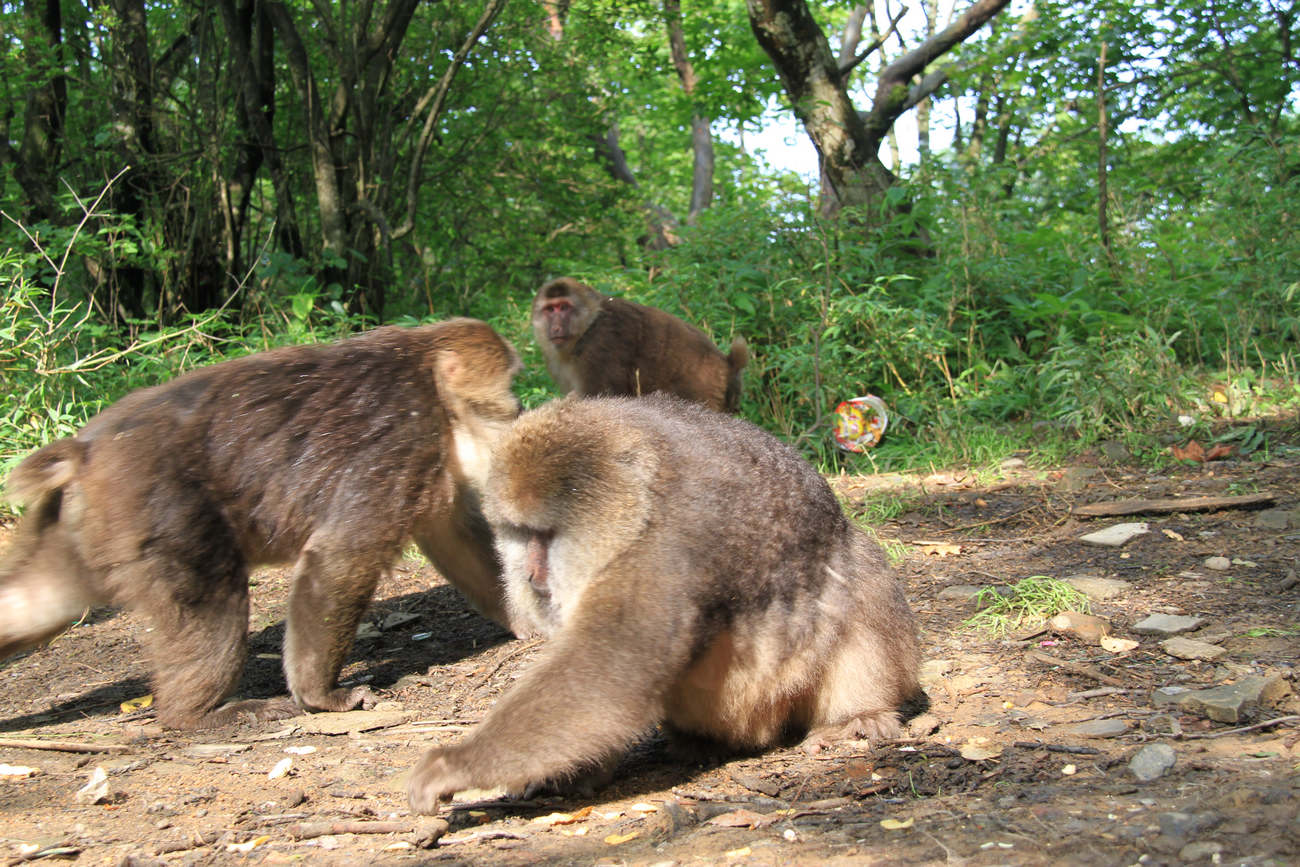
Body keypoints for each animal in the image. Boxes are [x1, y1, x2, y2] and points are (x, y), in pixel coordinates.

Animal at [6, 322, 522, 727]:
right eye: (511, 383)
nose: (518, 407)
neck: (429, 379)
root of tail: (87, 451)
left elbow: (457, 540)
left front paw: (529, 623)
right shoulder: (403, 440)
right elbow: (341, 559)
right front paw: (320, 696)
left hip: (88, 524)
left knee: (37, 604)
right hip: (155, 508)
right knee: (210, 597)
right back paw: (195, 717)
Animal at [405, 392, 925, 816]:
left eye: (546, 535)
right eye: (516, 533)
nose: (532, 576)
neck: (643, 497)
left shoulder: (668, 547)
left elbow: (611, 675)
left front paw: (457, 764)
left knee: (859, 572)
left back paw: (858, 715)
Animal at [530, 278, 754, 413]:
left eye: (564, 307)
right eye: (550, 309)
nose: (556, 327)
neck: (587, 328)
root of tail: (727, 363)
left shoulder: (599, 349)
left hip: (702, 387)